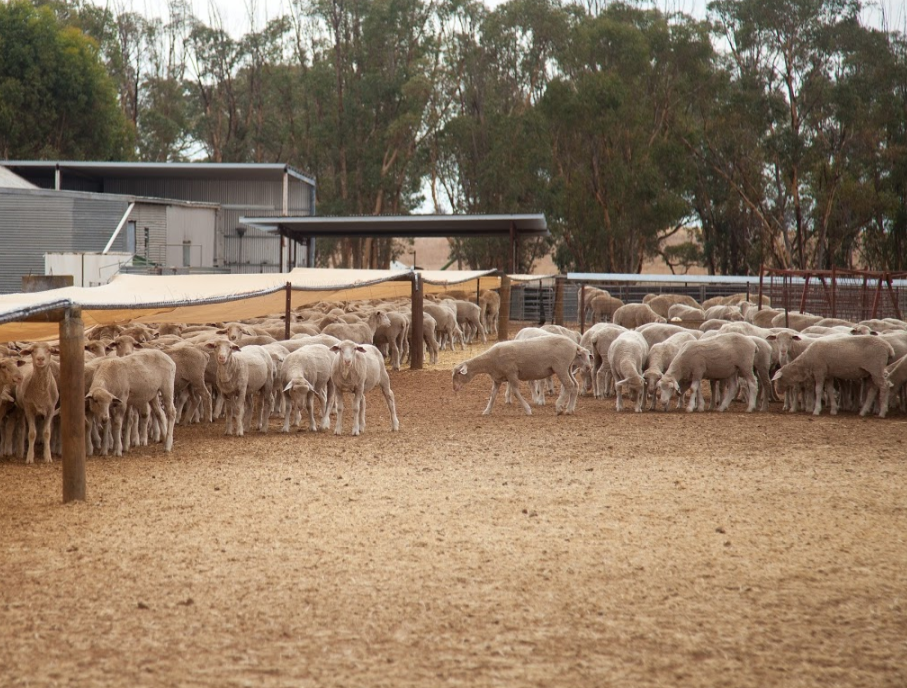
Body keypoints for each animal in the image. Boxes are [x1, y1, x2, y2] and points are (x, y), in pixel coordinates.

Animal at [452, 335, 591, 416]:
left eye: (458, 373)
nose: (455, 388)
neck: (490, 361)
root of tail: (574, 345)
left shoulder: (511, 373)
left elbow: (515, 392)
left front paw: (528, 410)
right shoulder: (497, 379)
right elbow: (493, 394)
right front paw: (487, 411)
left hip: (560, 367)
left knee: (568, 385)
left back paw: (559, 408)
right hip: (568, 367)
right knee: (575, 386)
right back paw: (570, 409)